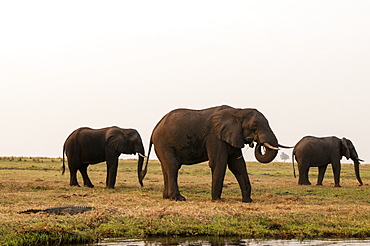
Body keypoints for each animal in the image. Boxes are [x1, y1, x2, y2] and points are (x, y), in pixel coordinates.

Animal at [139, 104, 290, 203]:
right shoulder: (215, 137)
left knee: (166, 167)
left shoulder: (232, 136)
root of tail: (154, 130)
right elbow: (219, 162)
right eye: (254, 126)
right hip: (164, 142)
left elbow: (238, 165)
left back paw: (167, 197)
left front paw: (248, 201)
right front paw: (217, 200)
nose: (256, 142)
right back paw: (179, 199)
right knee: (173, 166)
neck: (237, 111)